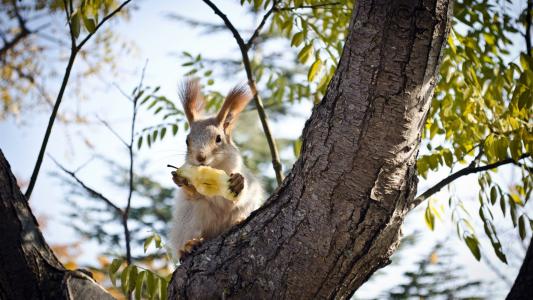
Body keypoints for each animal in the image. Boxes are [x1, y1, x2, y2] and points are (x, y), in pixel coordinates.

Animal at [169, 78, 262, 258]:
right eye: (187, 140)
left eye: (218, 138)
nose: (200, 157)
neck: (215, 167)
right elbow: (192, 194)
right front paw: (180, 180)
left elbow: (235, 197)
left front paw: (238, 182)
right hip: (189, 221)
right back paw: (188, 246)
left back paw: (239, 220)